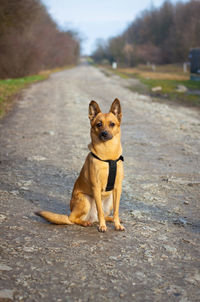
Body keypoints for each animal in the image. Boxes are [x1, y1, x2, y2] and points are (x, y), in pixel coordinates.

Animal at [35, 98, 124, 232]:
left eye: (112, 124)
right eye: (99, 124)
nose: (104, 133)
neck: (107, 156)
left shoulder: (117, 188)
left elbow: (116, 210)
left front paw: (117, 224)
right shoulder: (96, 187)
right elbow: (100, 211)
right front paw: (102, 226)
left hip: (108, 201)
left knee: (103, 214)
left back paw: (109, 219)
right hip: (85, 200)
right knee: (72, 219)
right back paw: (86, 222)